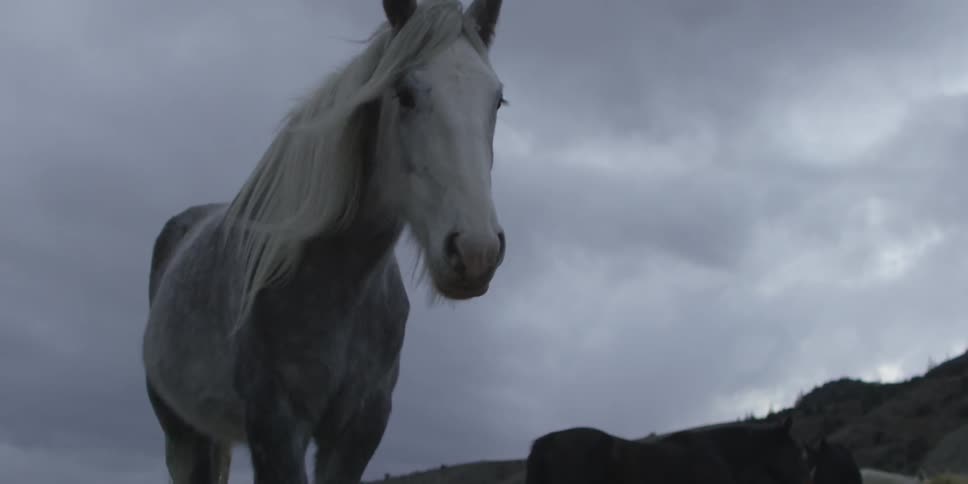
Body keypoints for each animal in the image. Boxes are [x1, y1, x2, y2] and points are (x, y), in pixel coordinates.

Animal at [141, 1, 508, 483]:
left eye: (497, 100)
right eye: (404, 93)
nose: (476, 250)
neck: (336, 283)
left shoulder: (361, 428)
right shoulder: (275, 426)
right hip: (183, 433)